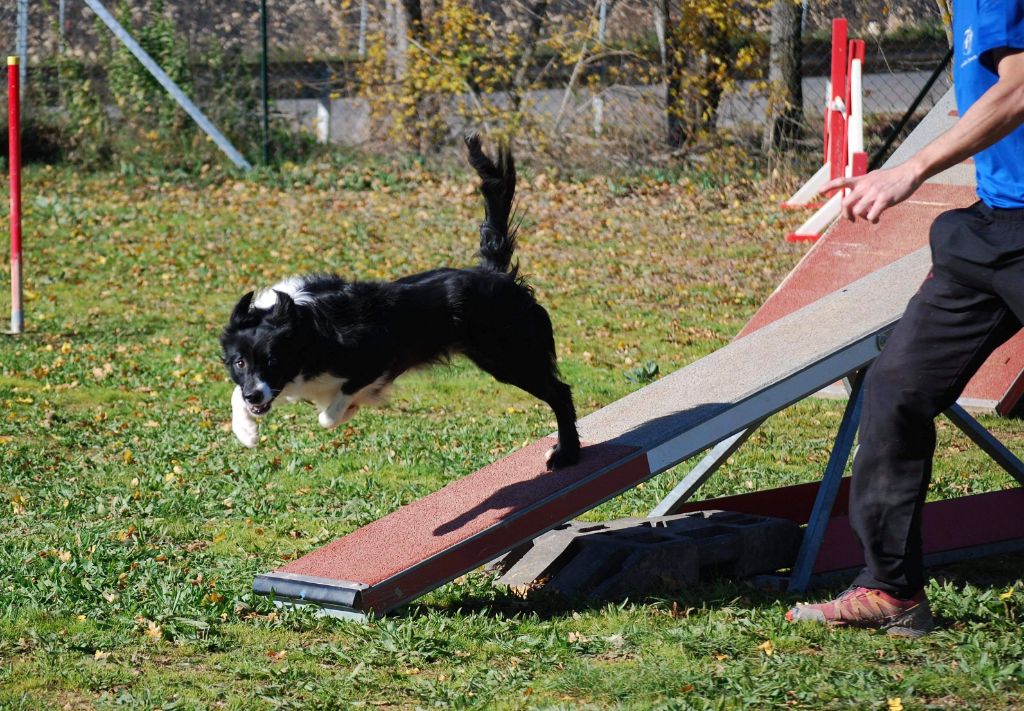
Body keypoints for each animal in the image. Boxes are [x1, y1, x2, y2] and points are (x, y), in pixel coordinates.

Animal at [219, 136, 581, 471]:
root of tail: (493, 273)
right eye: (240, 362)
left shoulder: (376, 355)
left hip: (508, 356)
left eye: (273, 359)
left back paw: (566, 454)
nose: (255, 396)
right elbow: (237, 394)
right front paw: (246, 432)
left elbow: (331, 412)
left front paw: (346, 409)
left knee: (560, 392)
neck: (303, 326)